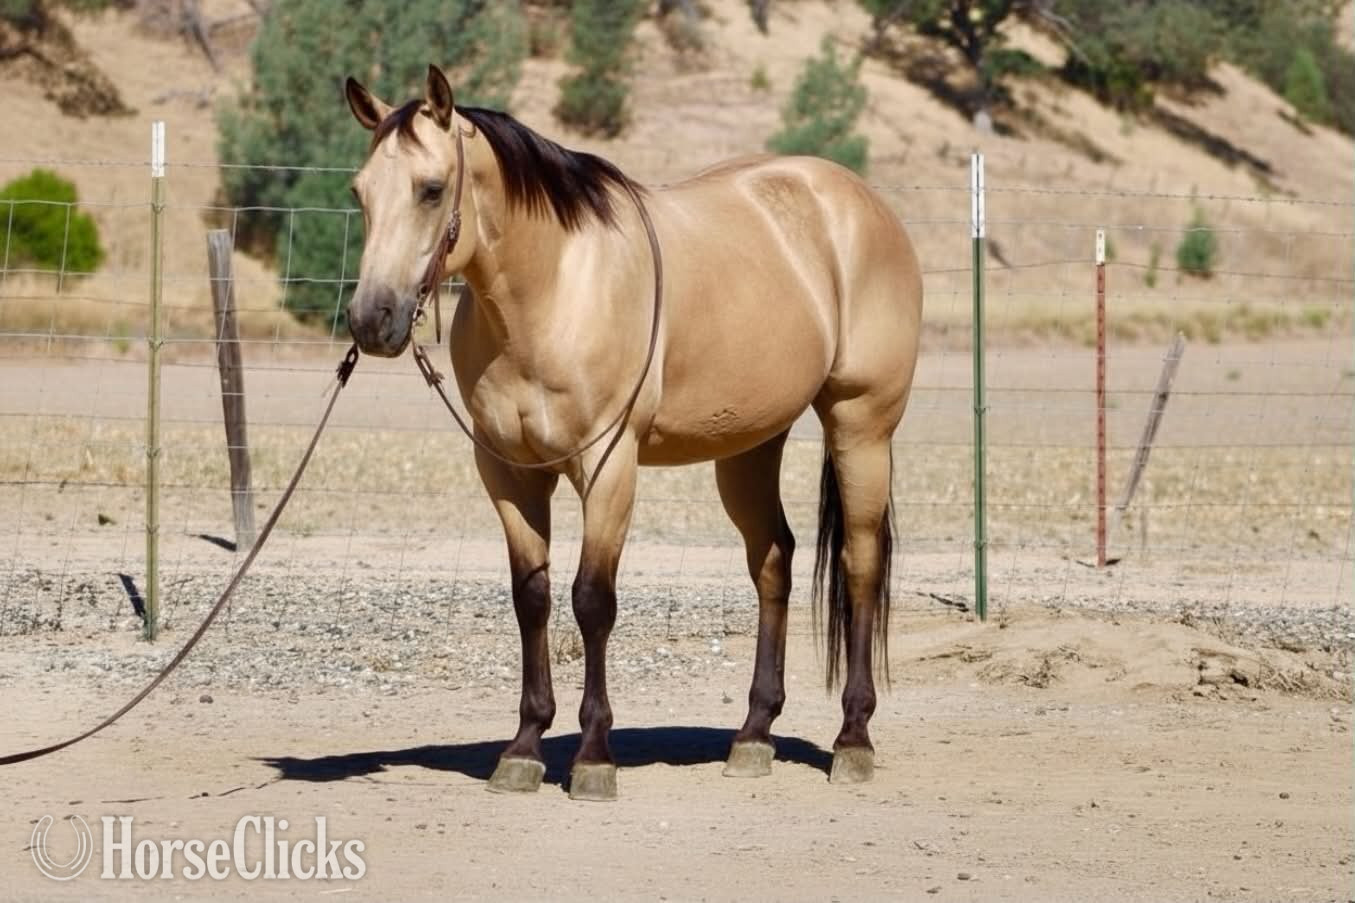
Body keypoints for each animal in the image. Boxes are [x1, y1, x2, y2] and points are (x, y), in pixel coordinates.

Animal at [343, 65, 922, 801]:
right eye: (360, 192)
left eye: (431, 188)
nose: (371, 320)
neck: (552, 290)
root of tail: (858, 201)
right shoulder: (508, 474)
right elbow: (531, 597)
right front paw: (524, 747)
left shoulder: (608, 465)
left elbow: (592, 600)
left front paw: (593, 755)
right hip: (750, 446)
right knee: (773, 561)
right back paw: (753, 735)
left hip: (860, 425)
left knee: (859, 562)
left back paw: (853, 737)